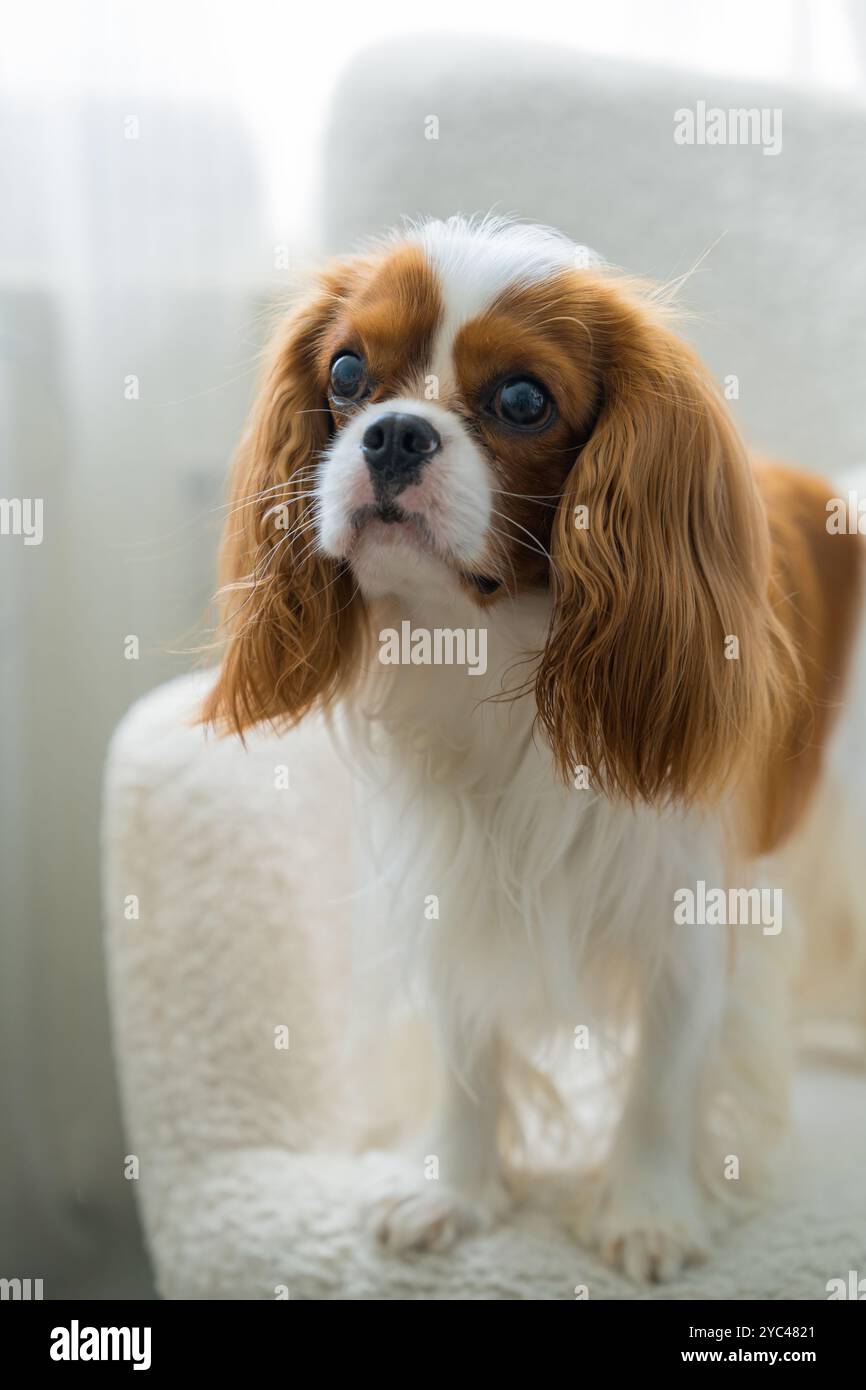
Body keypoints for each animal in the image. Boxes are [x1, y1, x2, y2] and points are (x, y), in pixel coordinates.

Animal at [201, 216, 861, 1278]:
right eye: (346, 371)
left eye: (521, 400)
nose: (393, 433)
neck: (495, 643)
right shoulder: (457, 875)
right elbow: (465, 1045)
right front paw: (457, 1190)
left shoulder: (688, 903)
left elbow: (665, 1073)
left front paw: (647, 1210)